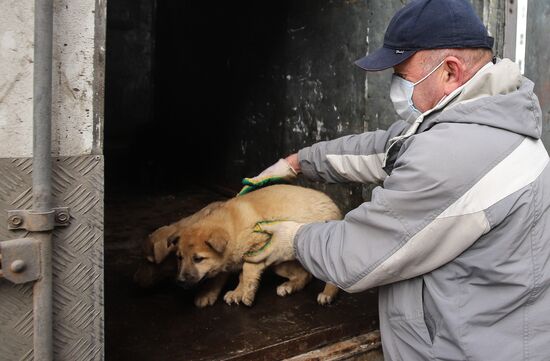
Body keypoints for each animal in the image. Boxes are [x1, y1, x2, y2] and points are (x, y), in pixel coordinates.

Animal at [175, 184, 342, 306]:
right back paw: (288, 286)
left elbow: (246, 269)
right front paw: (210, 293)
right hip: (281, 262)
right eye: (180, 258)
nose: (180, 281)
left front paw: (246, 292)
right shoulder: (227, 261)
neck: (232, 227)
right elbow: (221, 277)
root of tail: (334, 206)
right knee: (305, 275)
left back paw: (328, 293)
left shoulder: (259, 245)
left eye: (198, 259)